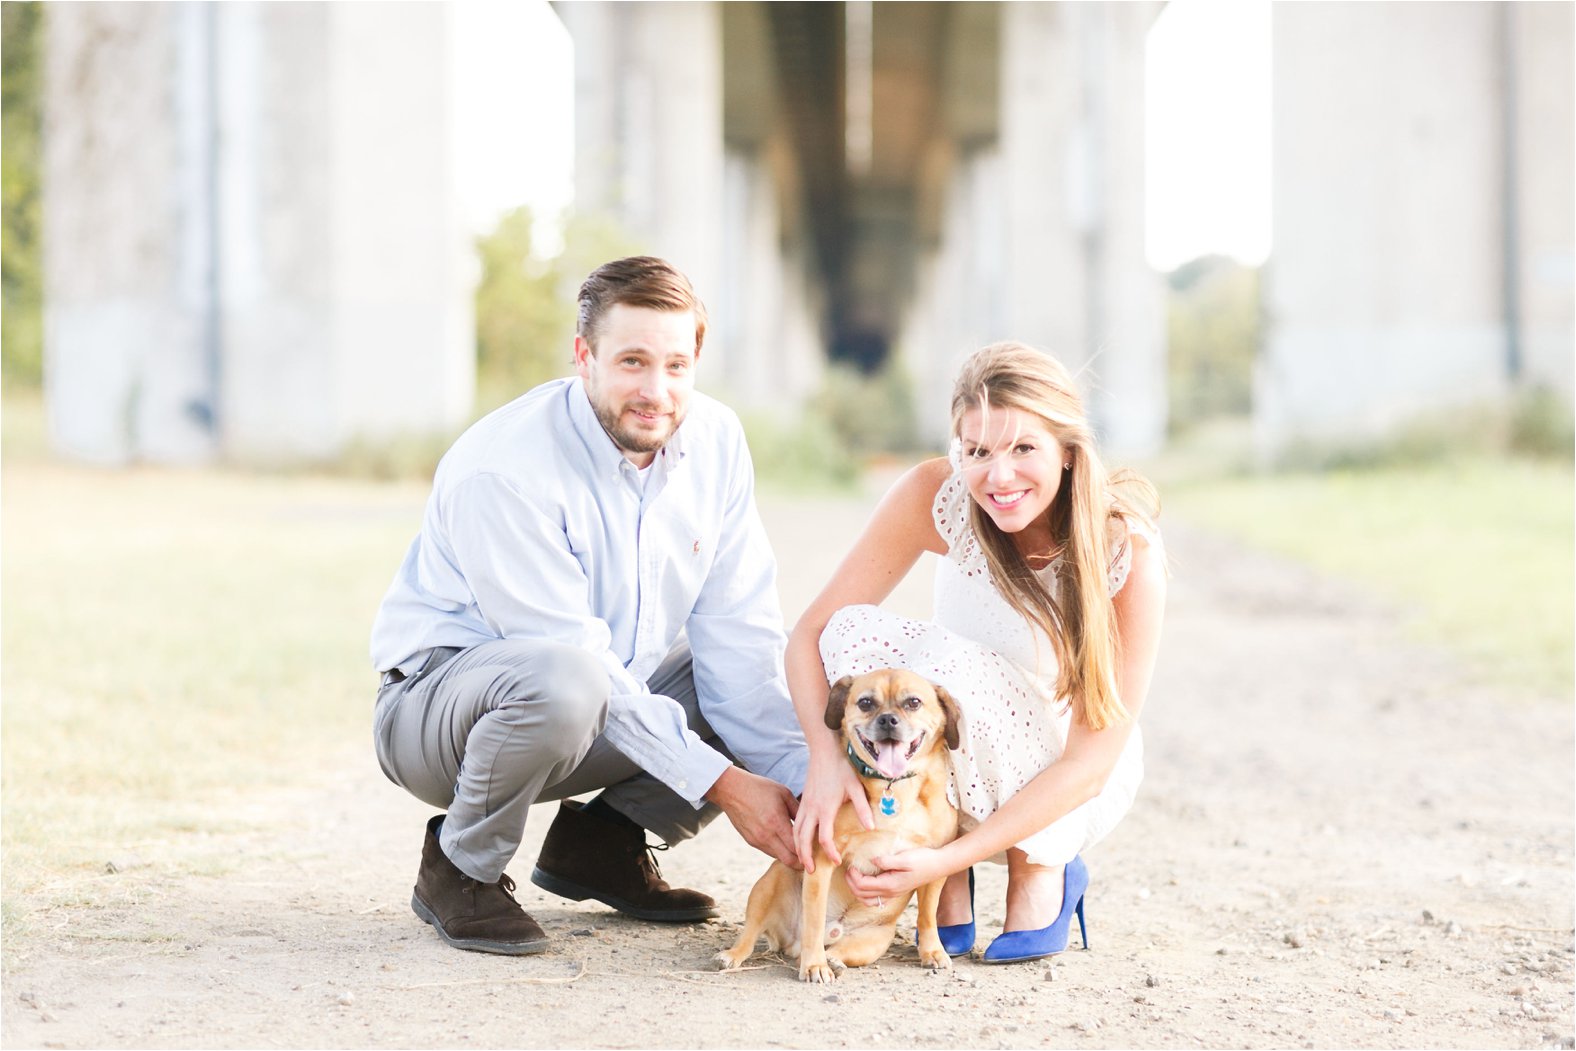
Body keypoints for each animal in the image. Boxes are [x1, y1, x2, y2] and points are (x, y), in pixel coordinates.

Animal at [715, 671, 958, 983]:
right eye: (866, 703)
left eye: (913, 702)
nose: (888, 719)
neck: (894, 787)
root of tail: (792, 945)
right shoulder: (821, 861)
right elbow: (814, 920)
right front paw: (814, 966)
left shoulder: (934, 864)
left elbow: (927, 914)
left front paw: (932, 951)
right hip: (768, 886)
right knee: (750, 934)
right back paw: (737, 955)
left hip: (873, 942)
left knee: (841, 950)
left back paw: (833, 959)